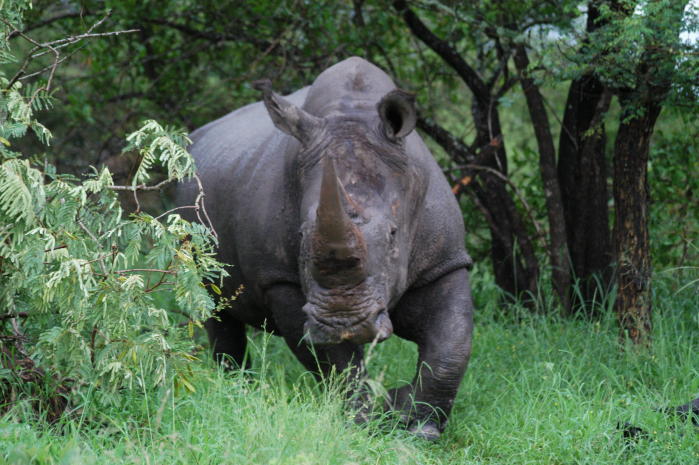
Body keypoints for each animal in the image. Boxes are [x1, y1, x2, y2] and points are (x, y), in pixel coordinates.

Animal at [178, 56, 478, 436]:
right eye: (300, 235)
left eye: (394, 233)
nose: (342, 322)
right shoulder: (280, 278)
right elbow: (336, 364)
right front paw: (362, 424)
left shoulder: (444, 262)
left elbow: (452, 345)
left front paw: (414, 423)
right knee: (213, 303)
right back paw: (237, 388)